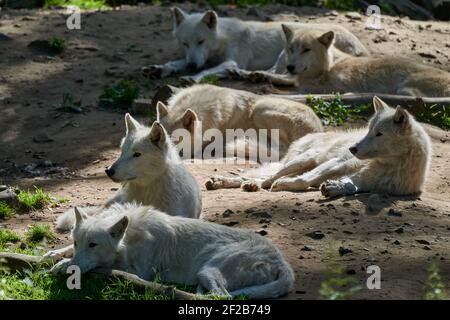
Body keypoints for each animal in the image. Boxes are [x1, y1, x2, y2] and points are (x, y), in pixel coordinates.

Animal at [51, 205, 296, 300]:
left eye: (93, 245)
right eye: (77, 242)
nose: (72, 270)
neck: (130, 238)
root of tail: (282, 262)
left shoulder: (138, 271)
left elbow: (104, 266)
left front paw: (66, 266)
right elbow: (66, 255)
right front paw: (57, 259)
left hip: (209, 270)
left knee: (222, 296)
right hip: (204, 274)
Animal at [142, 7, 368, 83]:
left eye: (201, 41)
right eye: (185, 43)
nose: (191, 67)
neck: (222, 39)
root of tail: (361, 46)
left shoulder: (231, 61)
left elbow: (207, 70)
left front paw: (192, 77)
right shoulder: (197, 58)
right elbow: (176, 62)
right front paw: (158, 69)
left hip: (285, 55)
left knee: (282, 74)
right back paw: (243, 76)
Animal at [205, 97, 432, 198]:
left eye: (379, 134)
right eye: (368, 130)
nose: (352, 149)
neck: (392, 165)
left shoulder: (369, 182)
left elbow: (351, 186)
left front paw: (334, 188)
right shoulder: (337, 163)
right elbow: (306, 180)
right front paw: (287, 185)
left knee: (259, 176)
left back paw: (244, 184)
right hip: (304, 159)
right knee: (267, 176)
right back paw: (236, 182)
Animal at [234, 25, 450, 96]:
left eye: (306, 50)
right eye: (291, 49)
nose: (290, 66)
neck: (328, 66)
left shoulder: (336, 86)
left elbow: (297, 88)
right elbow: (286, 80)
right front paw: (256, 76)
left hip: (404, 87)